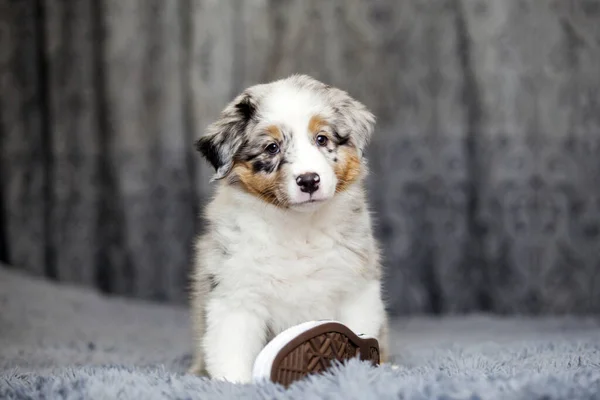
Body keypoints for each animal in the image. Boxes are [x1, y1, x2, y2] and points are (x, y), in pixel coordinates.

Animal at [191, 73, 390, 382]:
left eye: (322, 139)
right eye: (272, 147)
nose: (309, 180)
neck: (299, 227)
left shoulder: (355, 289)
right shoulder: (235, 296)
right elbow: (232, 353)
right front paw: (236, 384)